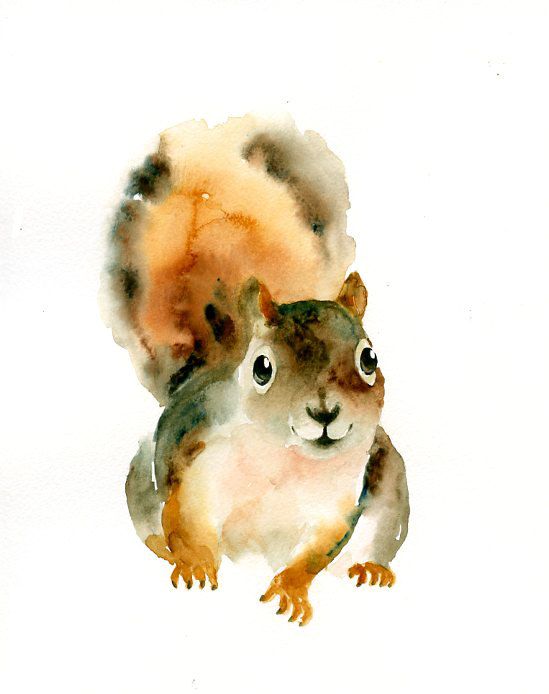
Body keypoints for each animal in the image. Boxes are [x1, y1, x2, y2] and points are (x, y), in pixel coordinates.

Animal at [104, 113, 409, 626]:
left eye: (370, 359)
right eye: (262, 367)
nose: (324, 413)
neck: (285, 464)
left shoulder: (336, 507)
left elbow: (316, 553)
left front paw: (291, 589)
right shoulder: (196, 470)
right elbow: (182, 523)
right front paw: (194, 565)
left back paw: (372, 568)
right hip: (141, 481)